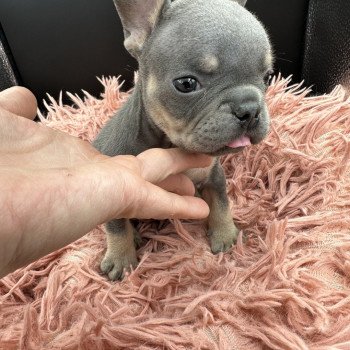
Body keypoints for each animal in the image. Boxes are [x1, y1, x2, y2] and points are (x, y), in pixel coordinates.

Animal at [93, 0, 274, 280]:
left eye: (266, 77)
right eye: (187, 84)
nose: (249, 108)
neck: (173, 145)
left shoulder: (213, 176)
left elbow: (221, 204)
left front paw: (225, 234)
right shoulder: (116, 188)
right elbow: (116, 226)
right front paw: (121, 259)